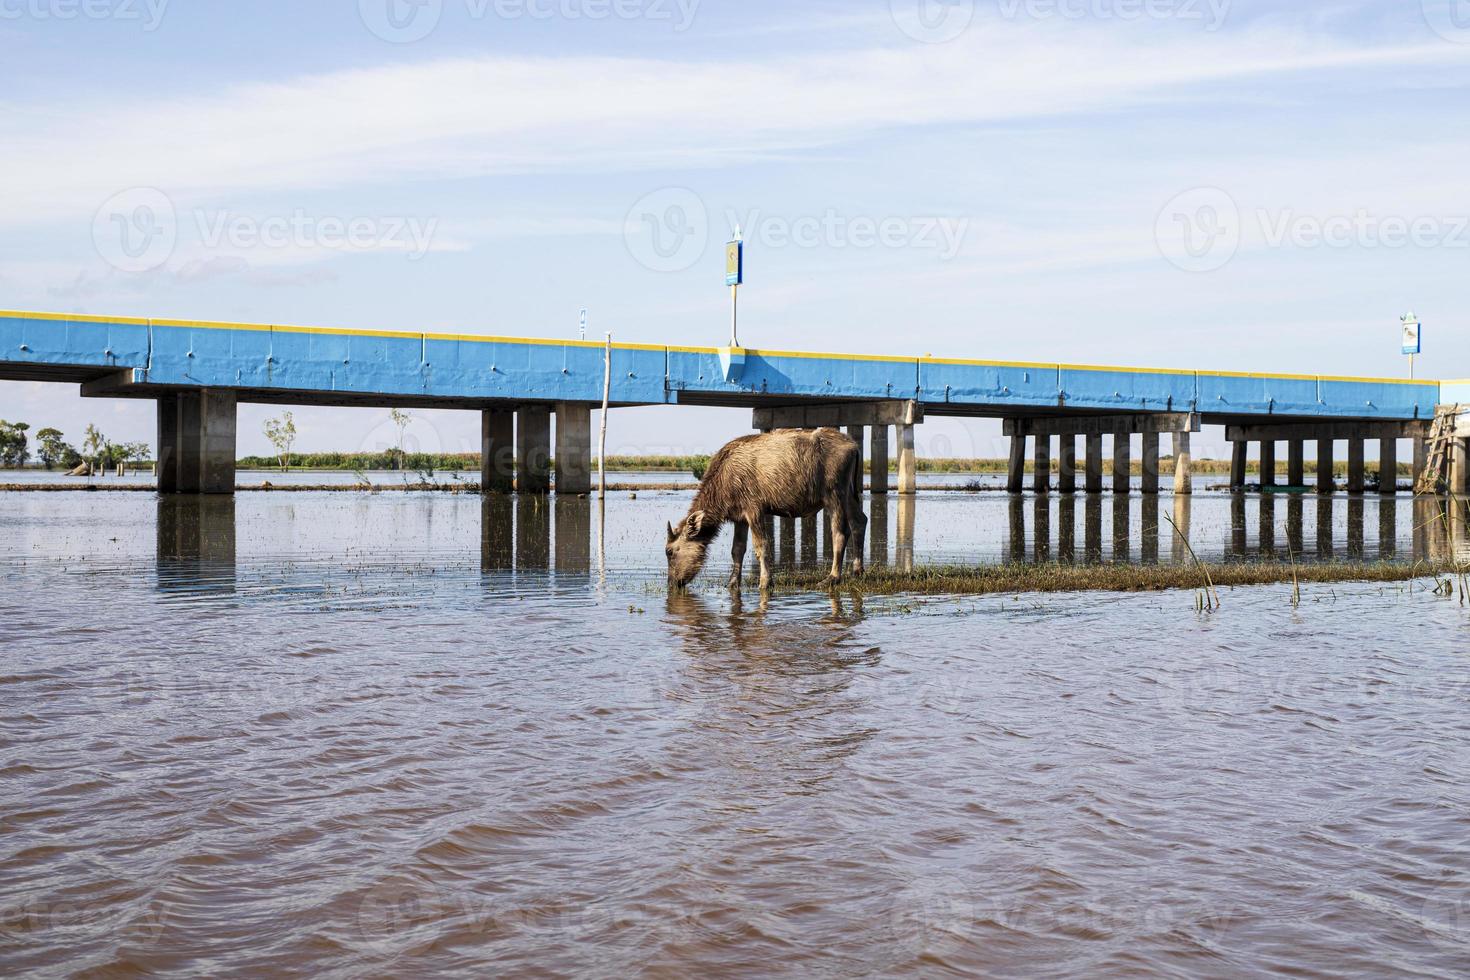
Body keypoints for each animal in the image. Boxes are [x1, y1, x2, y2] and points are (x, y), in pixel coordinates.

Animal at [664, 429, 858, 590]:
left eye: (670, 551)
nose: (672, 583)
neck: (722, 488)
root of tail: (854, 446)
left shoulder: (754, 509)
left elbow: (762, 546)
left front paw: (766, 581)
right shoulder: (739, 517)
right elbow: (737, 550)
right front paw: (732, 582)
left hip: (834, 494)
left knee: (840, 533)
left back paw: (832, 577)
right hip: (850, 494)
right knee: (859, 522)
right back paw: (857, 569)